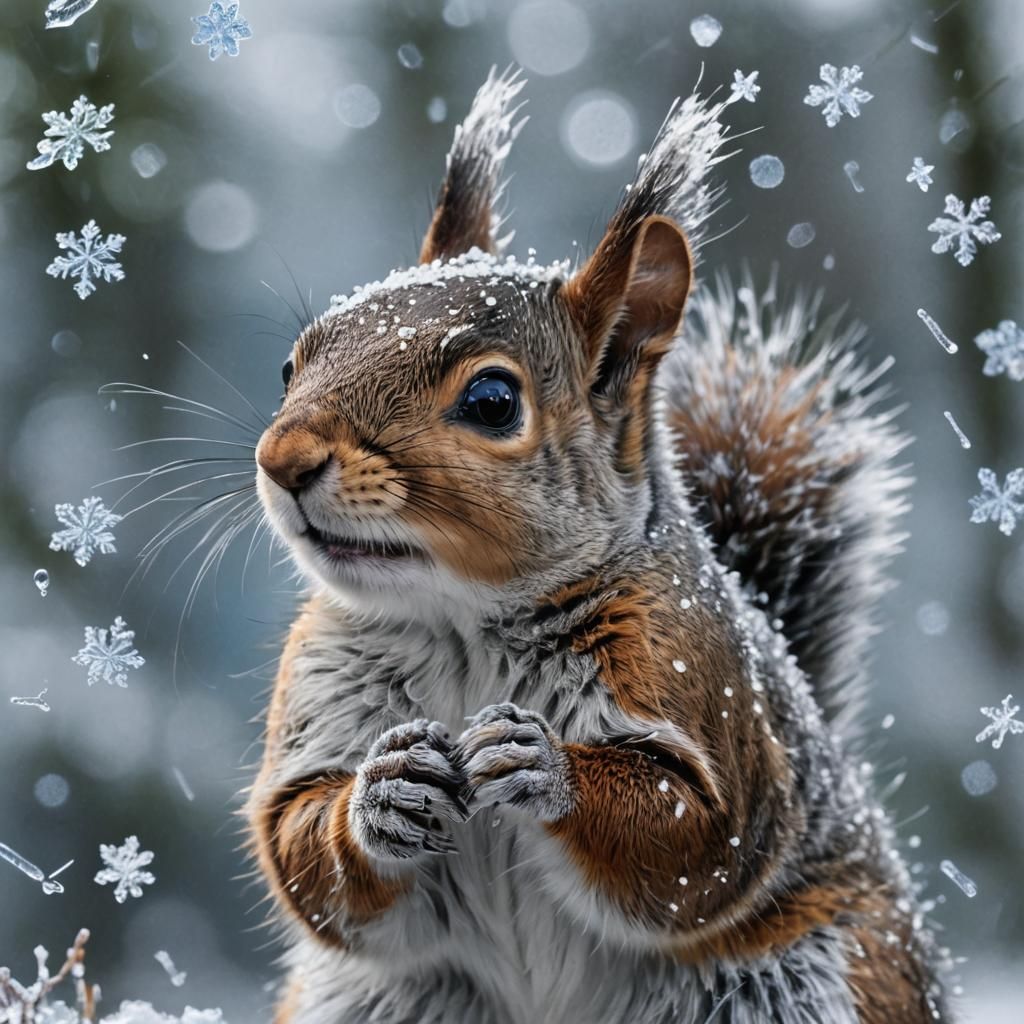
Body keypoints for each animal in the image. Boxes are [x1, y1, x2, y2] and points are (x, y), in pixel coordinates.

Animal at [246, 69, 952, 1024]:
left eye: (493, 401)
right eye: (292, 364)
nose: (282, 459)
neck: (463, 623)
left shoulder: (698, 684)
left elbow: (695, 838)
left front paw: (546, 766)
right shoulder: (314, 692)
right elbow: (299, 846)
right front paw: (380, 795)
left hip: (800, 982)